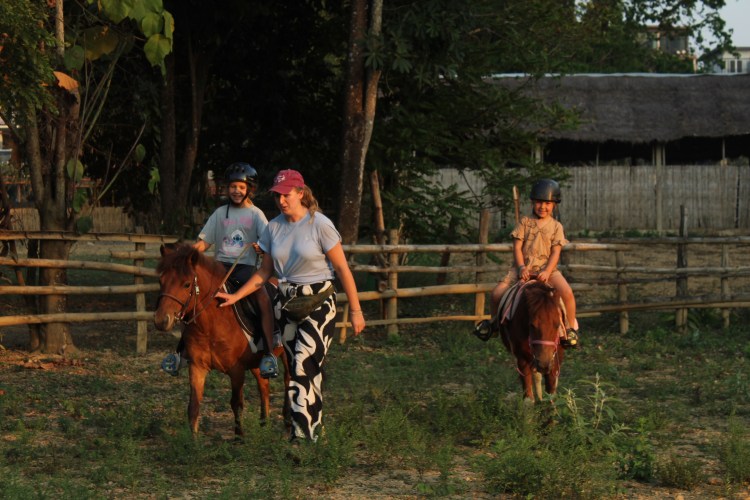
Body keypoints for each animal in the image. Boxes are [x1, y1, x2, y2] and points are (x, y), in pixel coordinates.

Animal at [153, 243, 290, 436]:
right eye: (161, 281)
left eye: (187, 284)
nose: (161, 320)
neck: (211, 326)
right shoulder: (197, 367)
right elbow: (193, 406)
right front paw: (193, 439)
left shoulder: (237, 370)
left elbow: (237, 404)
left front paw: (239, 437)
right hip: (257, 363)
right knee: (264, 386)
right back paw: (264, 424)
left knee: (288, 381)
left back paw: (287, 421)